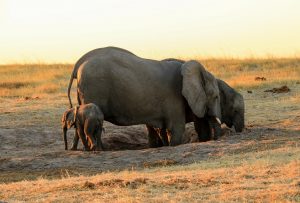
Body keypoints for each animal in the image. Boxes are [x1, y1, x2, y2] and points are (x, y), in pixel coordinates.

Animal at [68, 47, 223, 148]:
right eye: (216, 96)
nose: (217, 139)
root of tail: (77, 66)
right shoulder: (175, 98)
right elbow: (176, 129)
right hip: (93, 88)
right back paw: (96, 149)